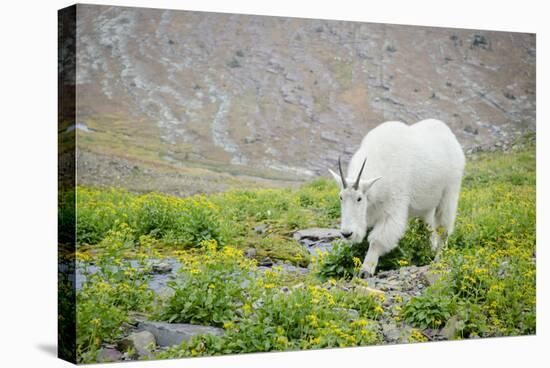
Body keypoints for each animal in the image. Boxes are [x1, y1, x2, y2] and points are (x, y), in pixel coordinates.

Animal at [332, 119, 466, 278]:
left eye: (359, 198)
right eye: (341, 197)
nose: (347, 233)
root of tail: (449, 134)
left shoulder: (393, 206)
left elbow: (377, 240)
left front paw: (366, 270)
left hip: (450, 189)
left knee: (443, 228)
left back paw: (439, 258)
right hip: (426, 205)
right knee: (427, 228)